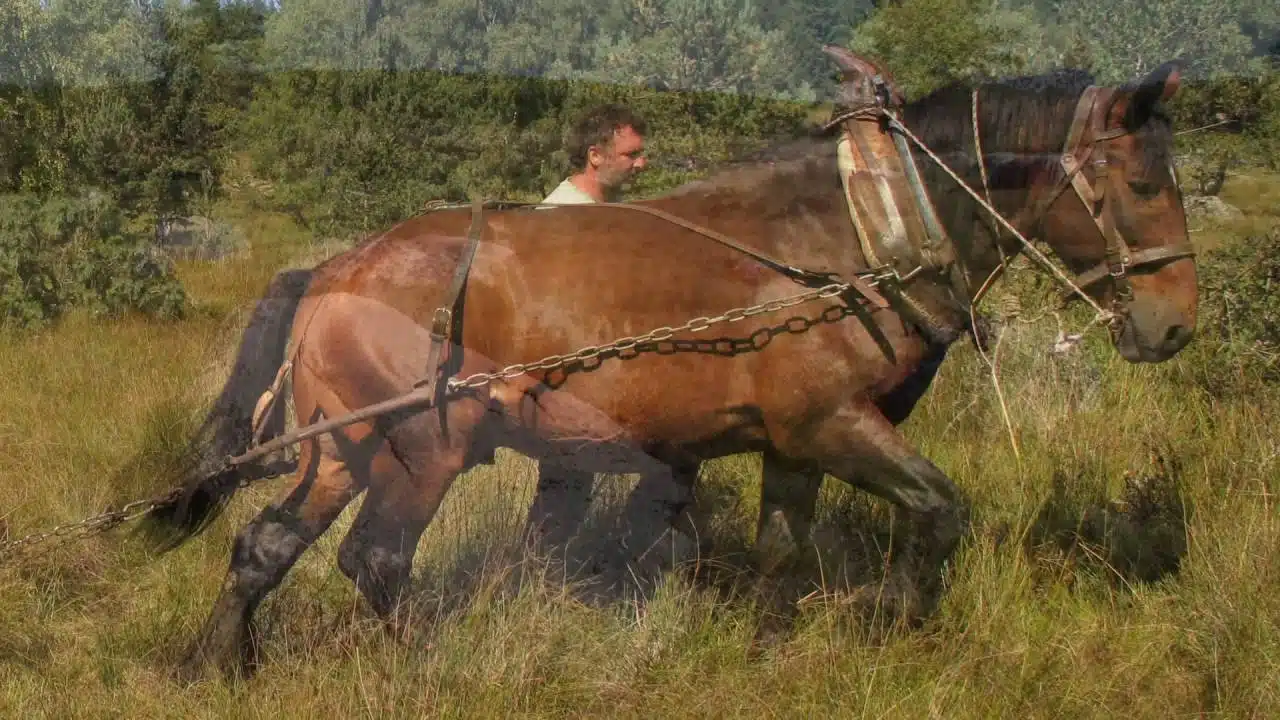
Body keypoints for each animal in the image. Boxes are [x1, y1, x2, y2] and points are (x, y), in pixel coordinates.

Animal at [145, 50, 1192, 676]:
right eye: (1143, 182)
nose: (1175, 324)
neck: (856, 232)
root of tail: (335, 269)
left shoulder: (794, 443)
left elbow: (779, 550)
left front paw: (766, 647)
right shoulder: (837, 425)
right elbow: (939, 510)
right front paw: (896, 620)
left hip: (342, 449)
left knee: (265, 545)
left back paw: (219, 662)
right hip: (418, 451)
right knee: (376, 559)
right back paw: (417, 667)